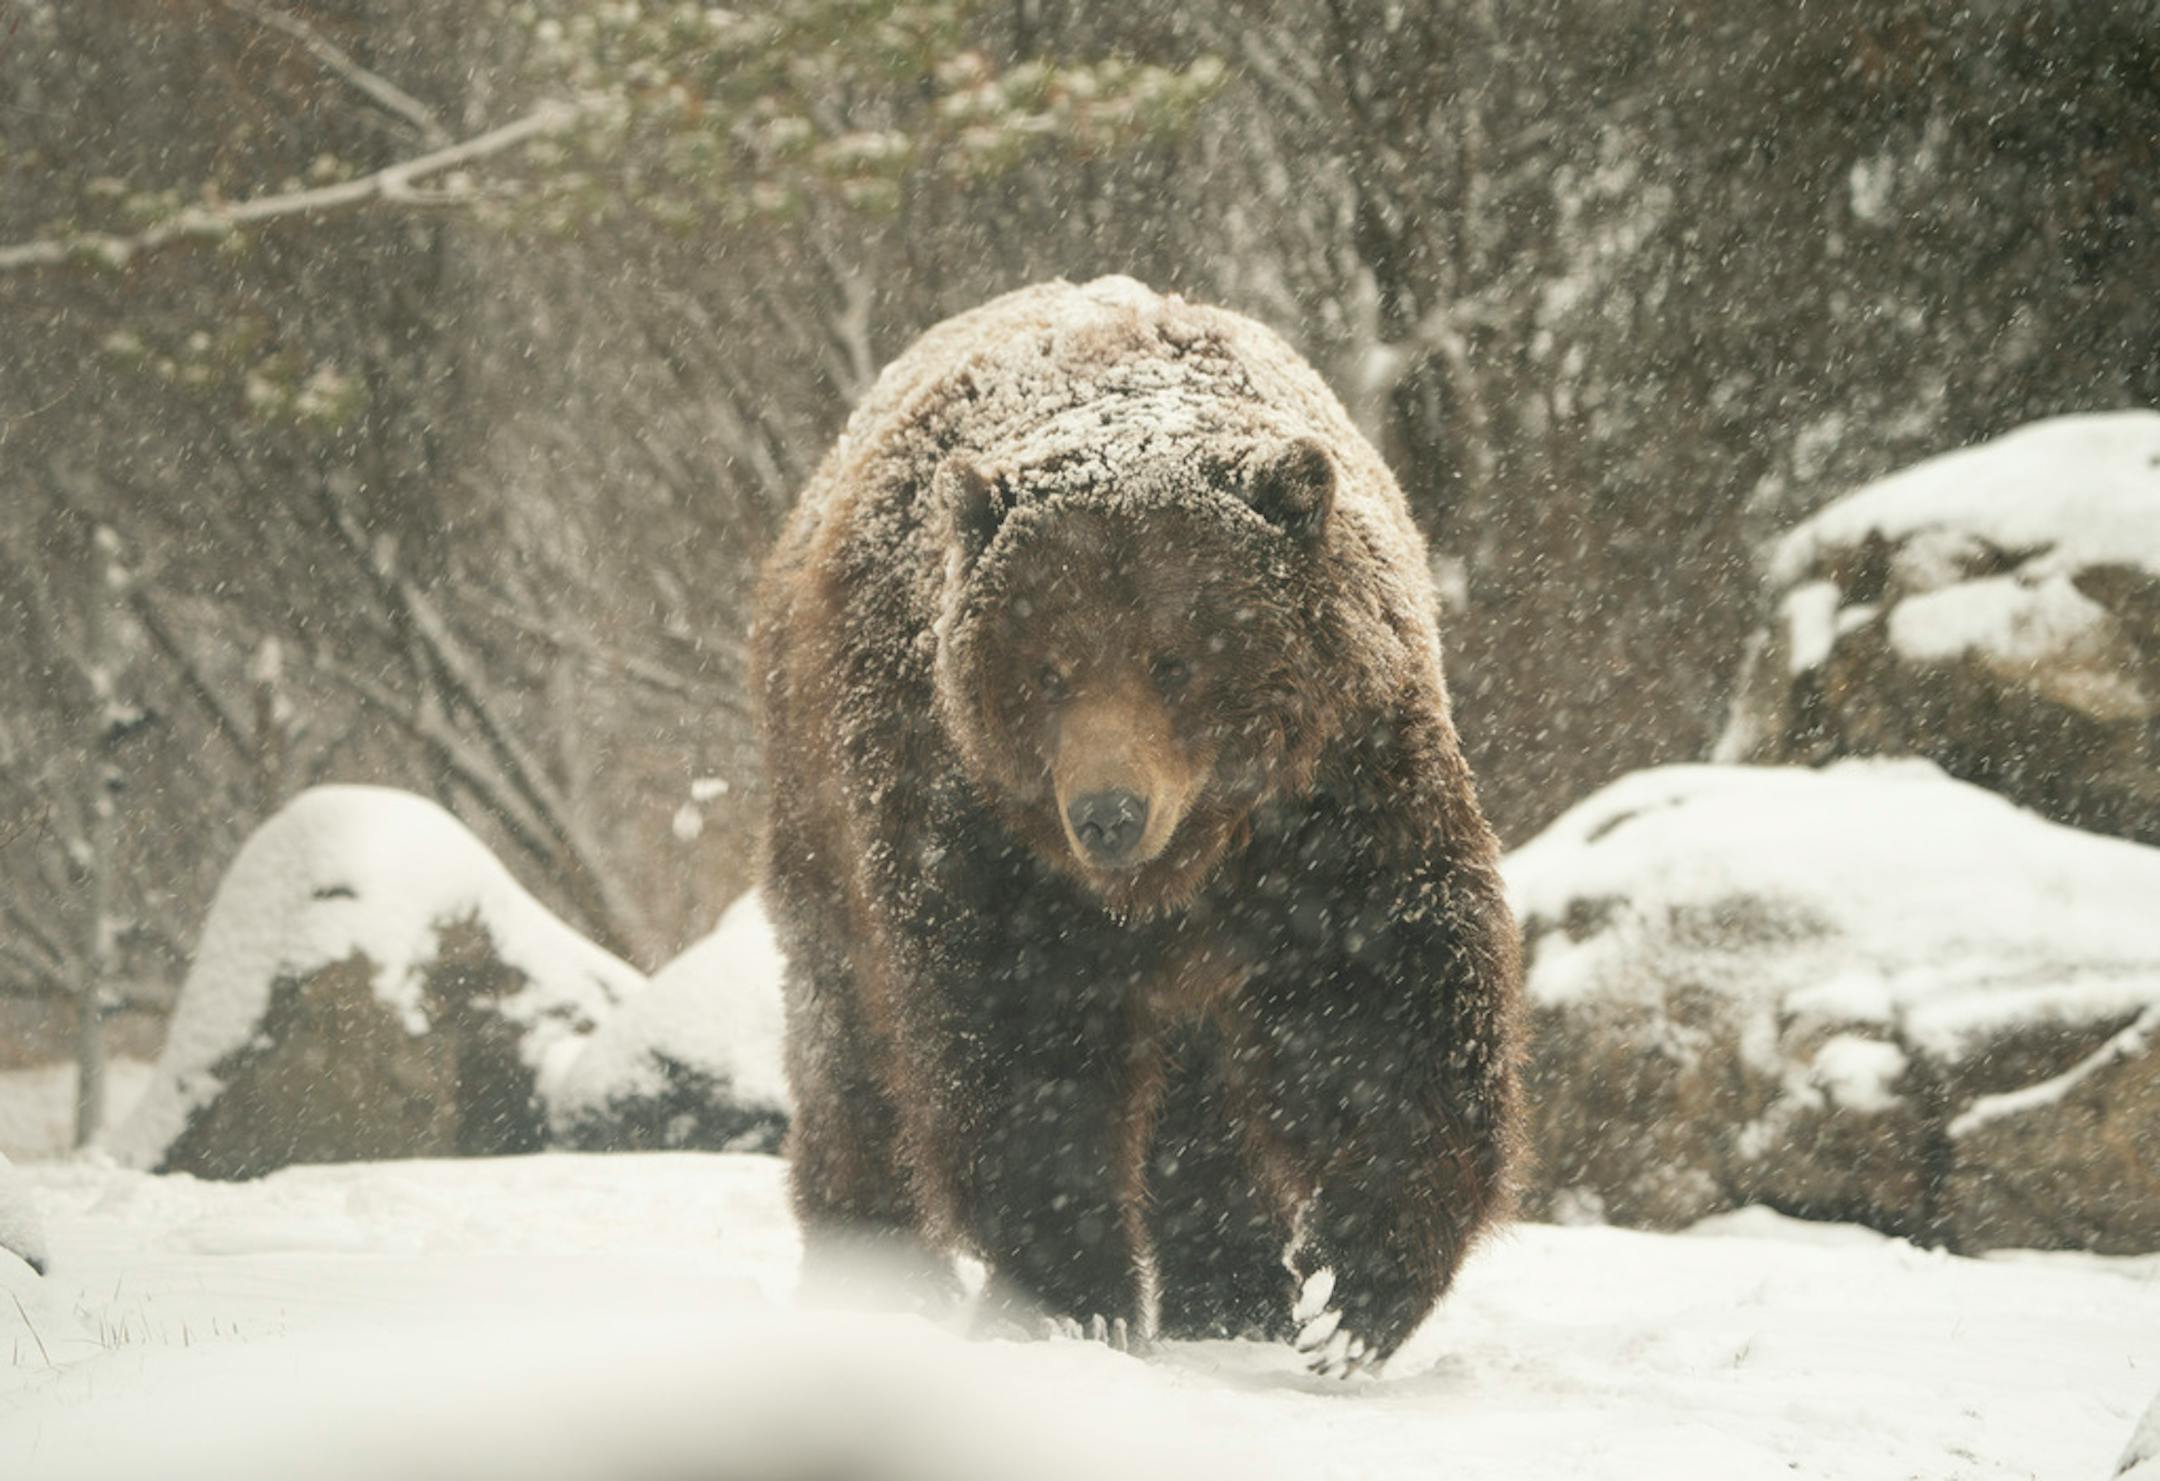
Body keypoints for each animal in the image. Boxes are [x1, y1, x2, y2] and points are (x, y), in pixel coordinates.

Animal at [752, 276, 1523, 1375]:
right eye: (1050, 667)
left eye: (1174, 658)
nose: (1108, 812)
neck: (1183, 864)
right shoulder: (982, 831)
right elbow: (1023, 1053)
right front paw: (1078, 1298)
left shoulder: (1334, 797)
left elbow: (1382, 1004)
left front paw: (1346, 1291)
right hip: (819, 808)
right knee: (851, 1049)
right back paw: (876, 1277)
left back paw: (1234, 1293)